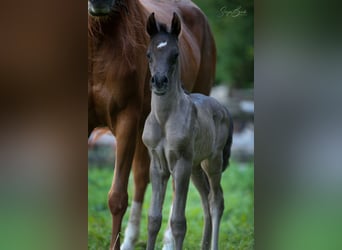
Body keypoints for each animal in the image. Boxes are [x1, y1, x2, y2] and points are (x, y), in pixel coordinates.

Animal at [88, 0, 216, 248]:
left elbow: (117, 197)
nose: (99, 2)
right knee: (141, 177)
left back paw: (168, 242)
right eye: (148, 55)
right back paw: (130, 241)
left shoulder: (126, 121)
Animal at [142, 13, 232, 250]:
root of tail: (224, 109)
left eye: (175, 54)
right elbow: (153, 218)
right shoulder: (157, 165)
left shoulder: (180, 164)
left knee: (216, 200)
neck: (164, 120)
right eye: (148, 54)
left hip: (212, 161)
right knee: (206, 199)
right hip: (195, 167)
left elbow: (178, 222)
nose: (159, 81)